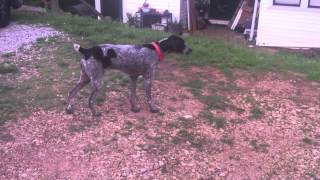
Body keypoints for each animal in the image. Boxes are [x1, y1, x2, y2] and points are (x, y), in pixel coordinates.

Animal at [63, 35, 191, 116]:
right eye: (183, 43)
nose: (191, 50)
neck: (157, 49)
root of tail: (87, 50)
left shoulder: (133, 77)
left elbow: (132, 95)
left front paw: (134, 108)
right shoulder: (148, 79)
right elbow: (149, 98)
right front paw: (153, 109)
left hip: (85, 79)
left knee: (71, 92)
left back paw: (68, 108)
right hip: (97, 82)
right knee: (89, 100)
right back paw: (95, 113)